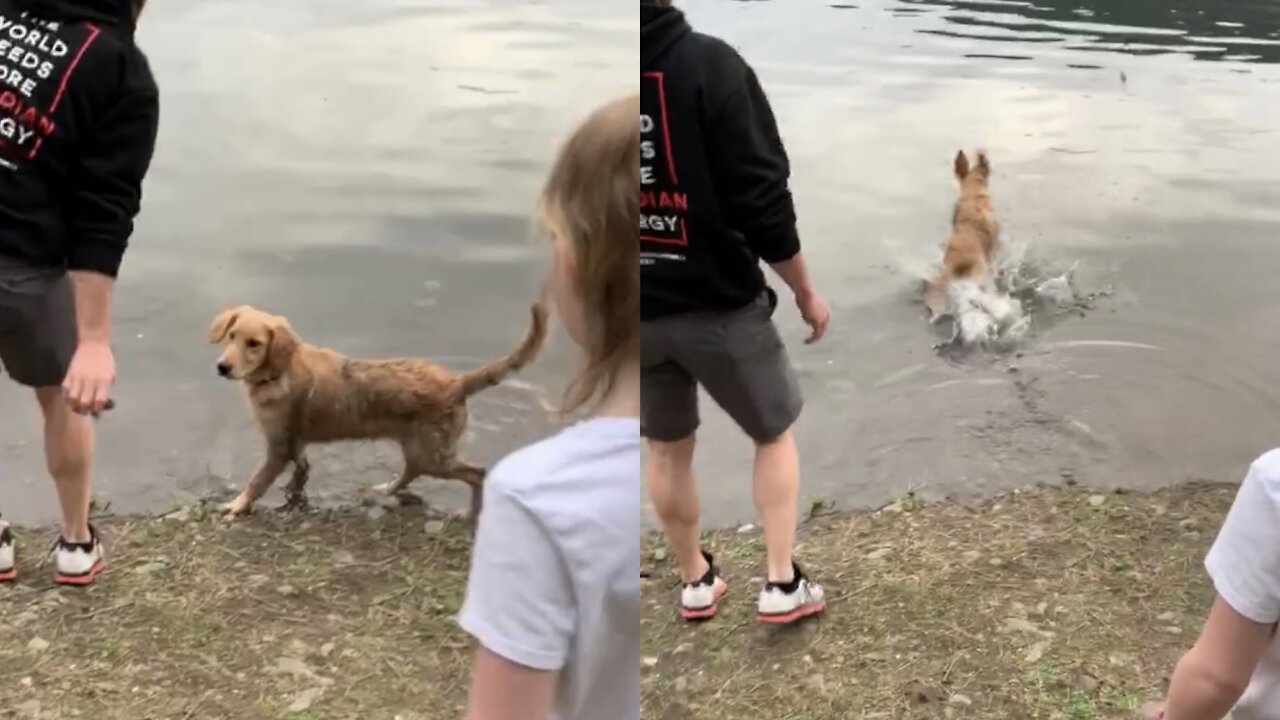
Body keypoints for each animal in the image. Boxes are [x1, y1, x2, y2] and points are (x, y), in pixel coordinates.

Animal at [207, 299, 547, 517]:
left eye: (254, 344)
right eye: (232, 336)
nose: (222, 367)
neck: (279, 372)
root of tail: (456, 383)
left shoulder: (278, 447)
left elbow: (257, 481)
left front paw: (237, 505)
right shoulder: (296, 442)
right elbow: (301, 472)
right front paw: (291, 493)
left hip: (434, 455)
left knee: (478, 473)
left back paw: (472, 514)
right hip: (419, 449)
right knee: (410, 473)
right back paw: (386, 489)